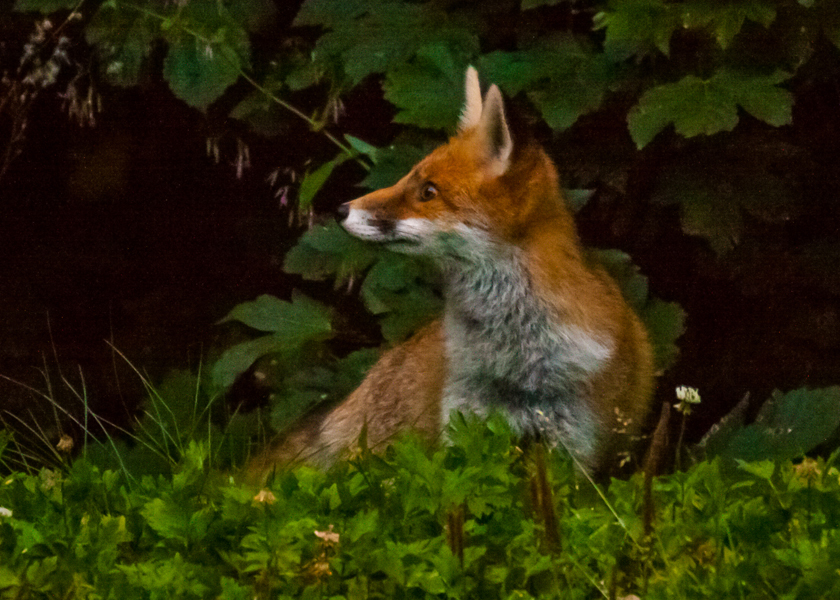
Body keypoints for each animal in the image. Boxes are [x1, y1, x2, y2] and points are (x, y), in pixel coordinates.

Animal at [249, 65, 656, 478]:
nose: (341, 209)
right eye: (408, 177)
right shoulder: (464, 423)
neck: (516, 361)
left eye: (428, 192)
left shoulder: (574, 444)